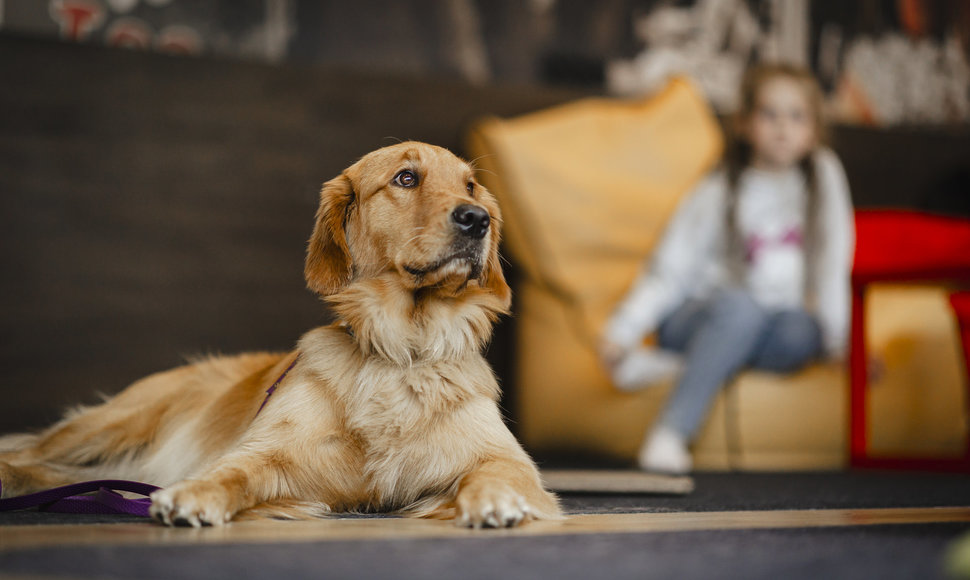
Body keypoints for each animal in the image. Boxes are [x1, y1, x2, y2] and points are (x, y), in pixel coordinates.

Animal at [0, 139, 560, 524]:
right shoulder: (273, 453)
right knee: (31, 452)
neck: (402, 349)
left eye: (470, 186)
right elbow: (233, 471)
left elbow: (501, 473)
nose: (478, 219)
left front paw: (497, 501)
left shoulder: (499, 456)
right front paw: (195, 494)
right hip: (113, 422)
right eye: (405, 178)